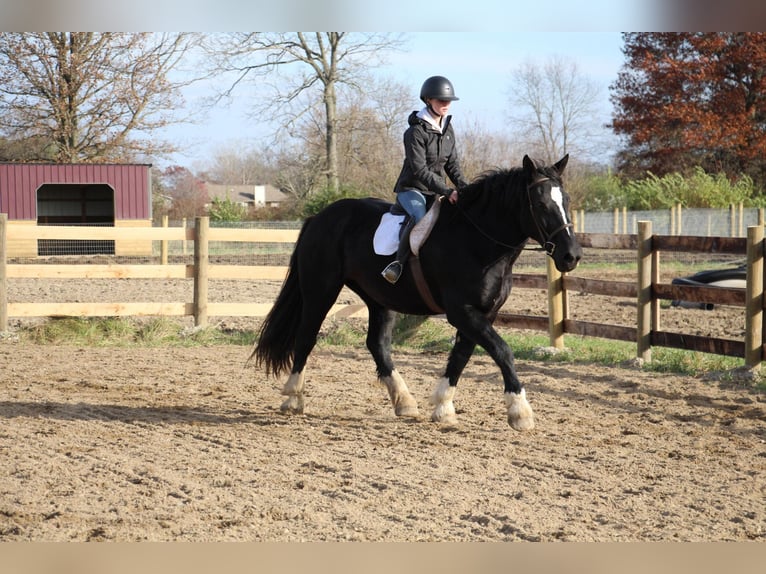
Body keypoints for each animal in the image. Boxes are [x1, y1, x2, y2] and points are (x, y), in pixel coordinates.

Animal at [252, 155, 584, 430]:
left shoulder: (482, 313)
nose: (571, 256)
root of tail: (319, 217)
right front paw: (520, 412)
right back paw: (293, 397)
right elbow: (502, 351)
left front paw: (443, 406)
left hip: (379, 299)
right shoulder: (462, 312)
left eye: (566, 200)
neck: (477, 241)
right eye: (540, 204)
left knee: (378, 345)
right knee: (306, 337)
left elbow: (461, 356)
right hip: (321, 290)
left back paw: (404, 401)